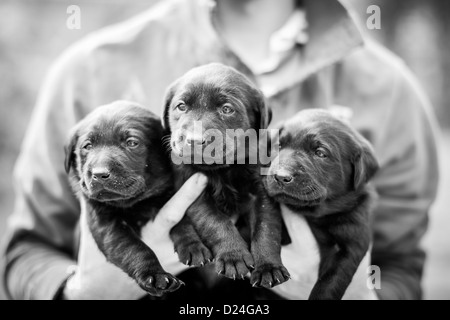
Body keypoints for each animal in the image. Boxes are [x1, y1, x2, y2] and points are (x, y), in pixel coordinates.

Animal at [63, 101, 183, 296]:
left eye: (132, 143)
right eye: (87, 146)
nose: (99, 174)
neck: (136, 203)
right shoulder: (105, 221)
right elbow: (132, 247)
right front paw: (155, 275)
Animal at [163, 63, 290, 288]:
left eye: (227, 109)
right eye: (181, 107)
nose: (194, 140)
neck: (221, 170)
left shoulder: (261, 193)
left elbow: (266, 229)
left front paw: (268, 267)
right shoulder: (195, 193)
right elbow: (216, 222)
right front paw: (234, 256)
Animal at [264, 109, 380, 300]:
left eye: (320, 153)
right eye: (278, 146)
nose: (281, 176)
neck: (315, 215)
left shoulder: (352, 242)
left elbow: (331, 281)